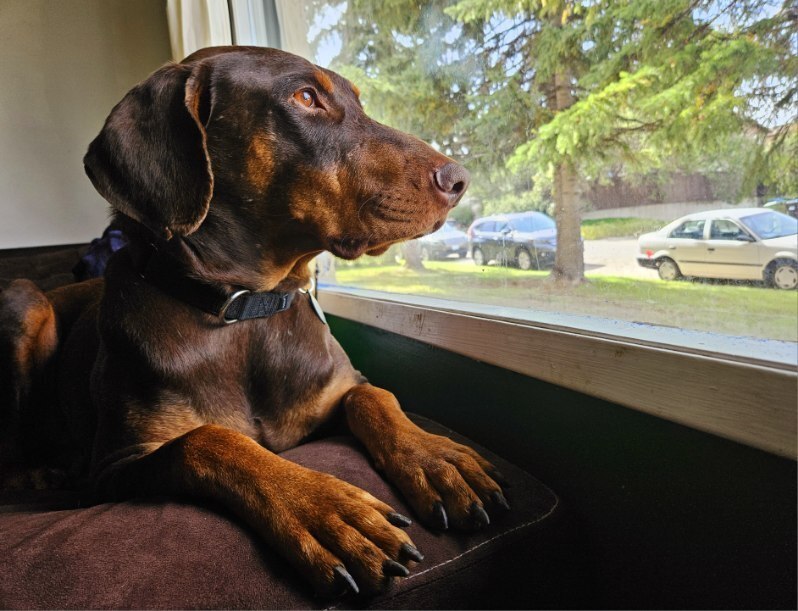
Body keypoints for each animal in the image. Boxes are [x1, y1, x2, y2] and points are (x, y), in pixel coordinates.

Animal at [0, 46, 510, 596]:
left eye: (357, 99)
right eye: (305, 97)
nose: (458, 180)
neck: (250, 310)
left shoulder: (340, 386)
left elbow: (374, 395)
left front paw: (437, 457)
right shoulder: (118, 466)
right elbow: (209, 440)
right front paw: (327, 509)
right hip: (24, 300)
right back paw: (39, 471)